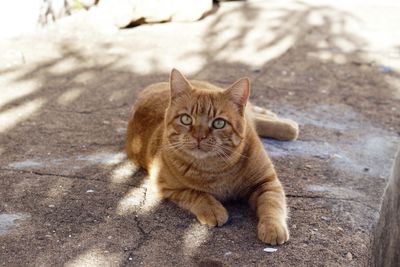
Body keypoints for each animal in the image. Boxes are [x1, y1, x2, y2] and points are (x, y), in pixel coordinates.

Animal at [126, 68, 298, 245]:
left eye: (219, 123)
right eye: (186, 119)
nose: (199, 136)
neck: (217, 168)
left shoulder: (267, 182)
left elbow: (272, 204)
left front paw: (273, 227)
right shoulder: (165, 186)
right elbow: (196, 194)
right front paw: (213, 209)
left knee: (253, 115)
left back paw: (287, 125)